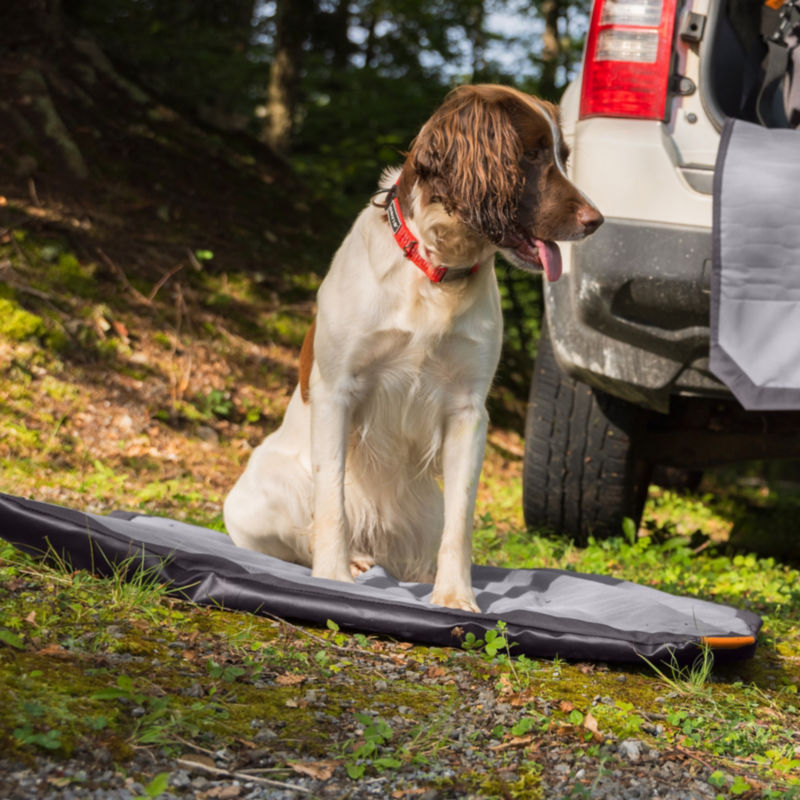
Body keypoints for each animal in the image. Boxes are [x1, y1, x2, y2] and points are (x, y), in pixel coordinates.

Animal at [223, 84, 600, 608]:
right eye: (531, 154)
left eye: (563, 156)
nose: (597, 220)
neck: (435, 269)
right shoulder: (337, 391)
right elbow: (331, 500)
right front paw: (332, 578)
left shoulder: (467, 411)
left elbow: (461, 523)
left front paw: (455, 595)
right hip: (260, 494)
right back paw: (352, 561)